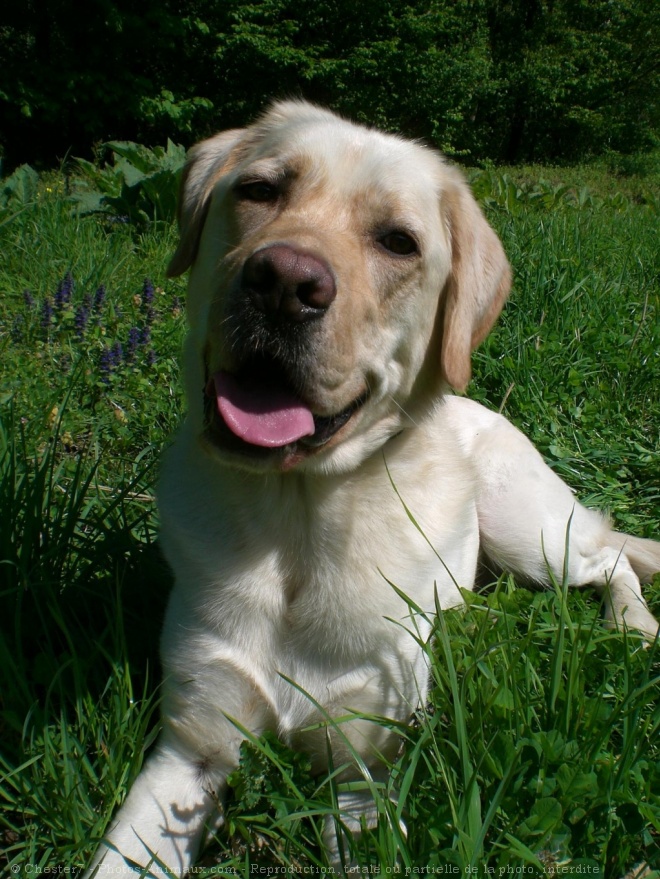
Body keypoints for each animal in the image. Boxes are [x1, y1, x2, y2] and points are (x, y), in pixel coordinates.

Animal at [89, 101, 660, 872]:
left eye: (398, 242)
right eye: (260, 190)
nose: (284, 282)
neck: (297, 525)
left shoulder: (364, 769)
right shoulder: (191, 749)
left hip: (530, 533)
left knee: (611, 557)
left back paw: (633, 626)